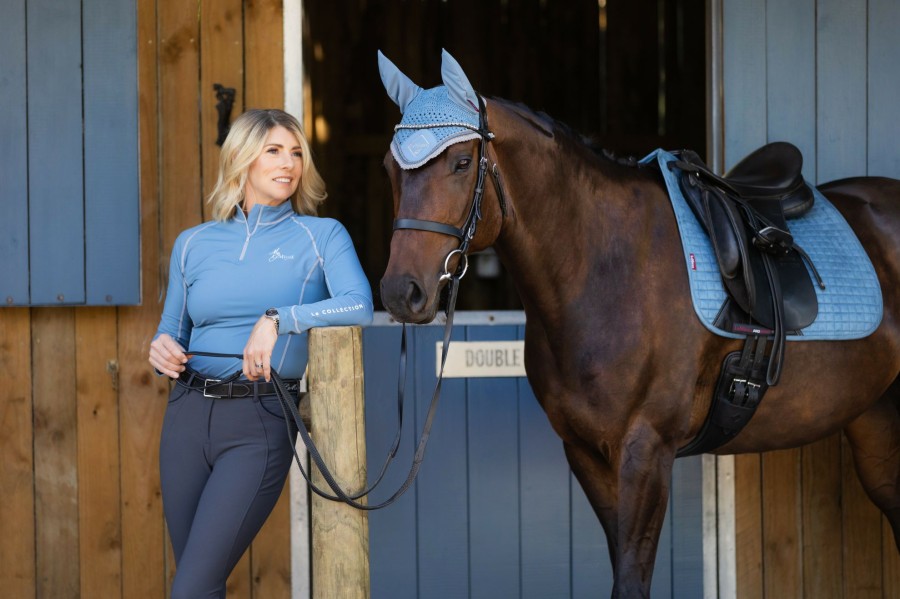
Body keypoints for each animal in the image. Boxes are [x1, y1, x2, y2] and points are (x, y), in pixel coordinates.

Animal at [374, 49, 900, 596]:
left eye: (461, 163)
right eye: (390, 168)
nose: (401, 293)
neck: (606, 269)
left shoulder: (647, 452)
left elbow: (630, 579)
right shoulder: (587, 454)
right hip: (878, 420)